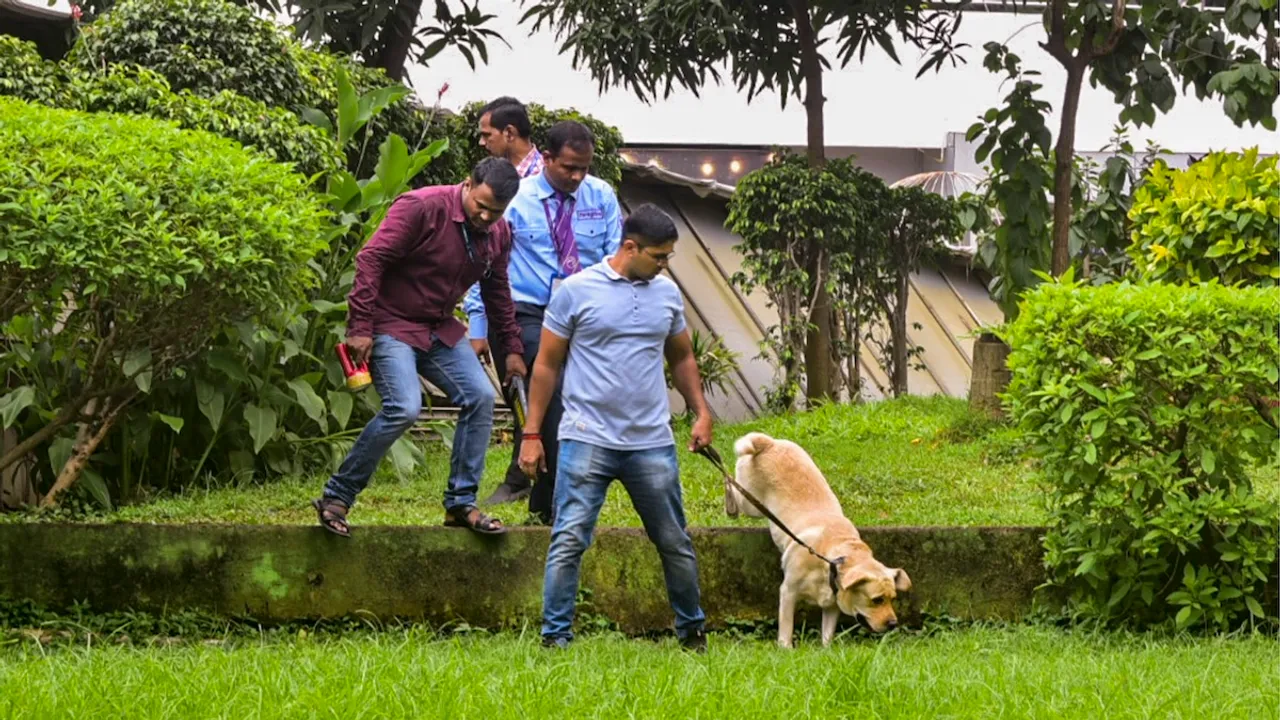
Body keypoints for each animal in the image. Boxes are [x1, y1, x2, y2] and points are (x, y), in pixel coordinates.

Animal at [732, 425, 911, 645]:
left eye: (893, 599)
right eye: (877, 600)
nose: (893, 624)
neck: (831, 561)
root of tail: (768, 443)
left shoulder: (832, 605)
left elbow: (827, 633)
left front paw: (826, 648)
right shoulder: (788, 592)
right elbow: (786, 627)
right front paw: (785, 647)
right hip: (750, 502)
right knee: (732, 488)